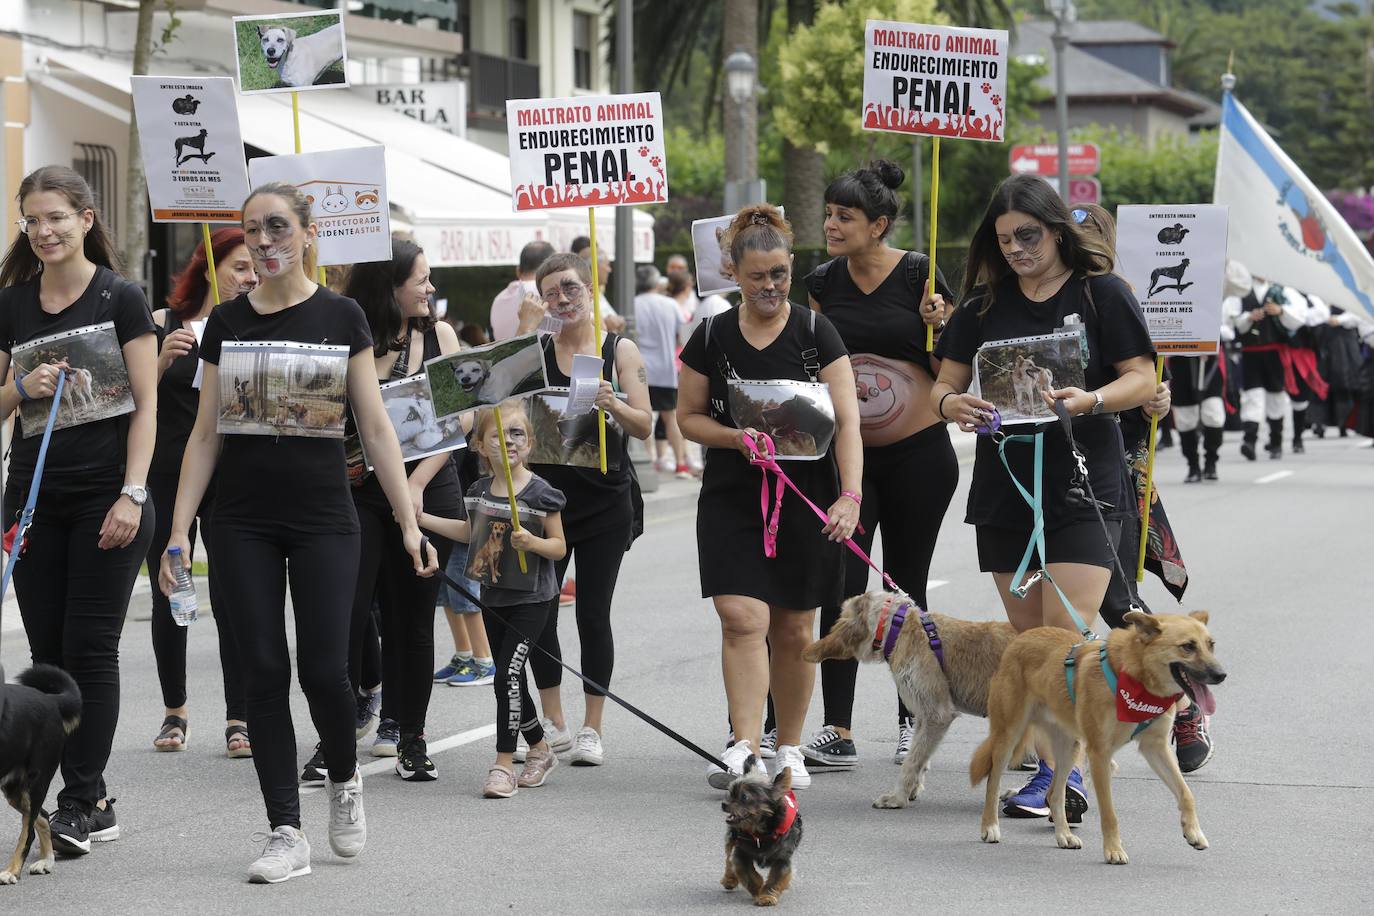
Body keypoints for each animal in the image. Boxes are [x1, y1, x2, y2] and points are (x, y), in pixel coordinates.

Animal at [0, 661, 81, 884]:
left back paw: (12, 871)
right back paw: (46, 861)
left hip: (36, 781)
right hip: (16, 789)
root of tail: (50, 699)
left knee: (28, 833)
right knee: (43, 816)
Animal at [725, 763, 802, 906]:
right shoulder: (742, 853)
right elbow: (750, 875)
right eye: (730, 793)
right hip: (732, 836)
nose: (724, 804)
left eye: (744, 797)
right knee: (728, 858)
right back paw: (729, 879)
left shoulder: (782, 858)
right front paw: (757, 891)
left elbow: (776, 879)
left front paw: (767, 896)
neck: (760, 833)